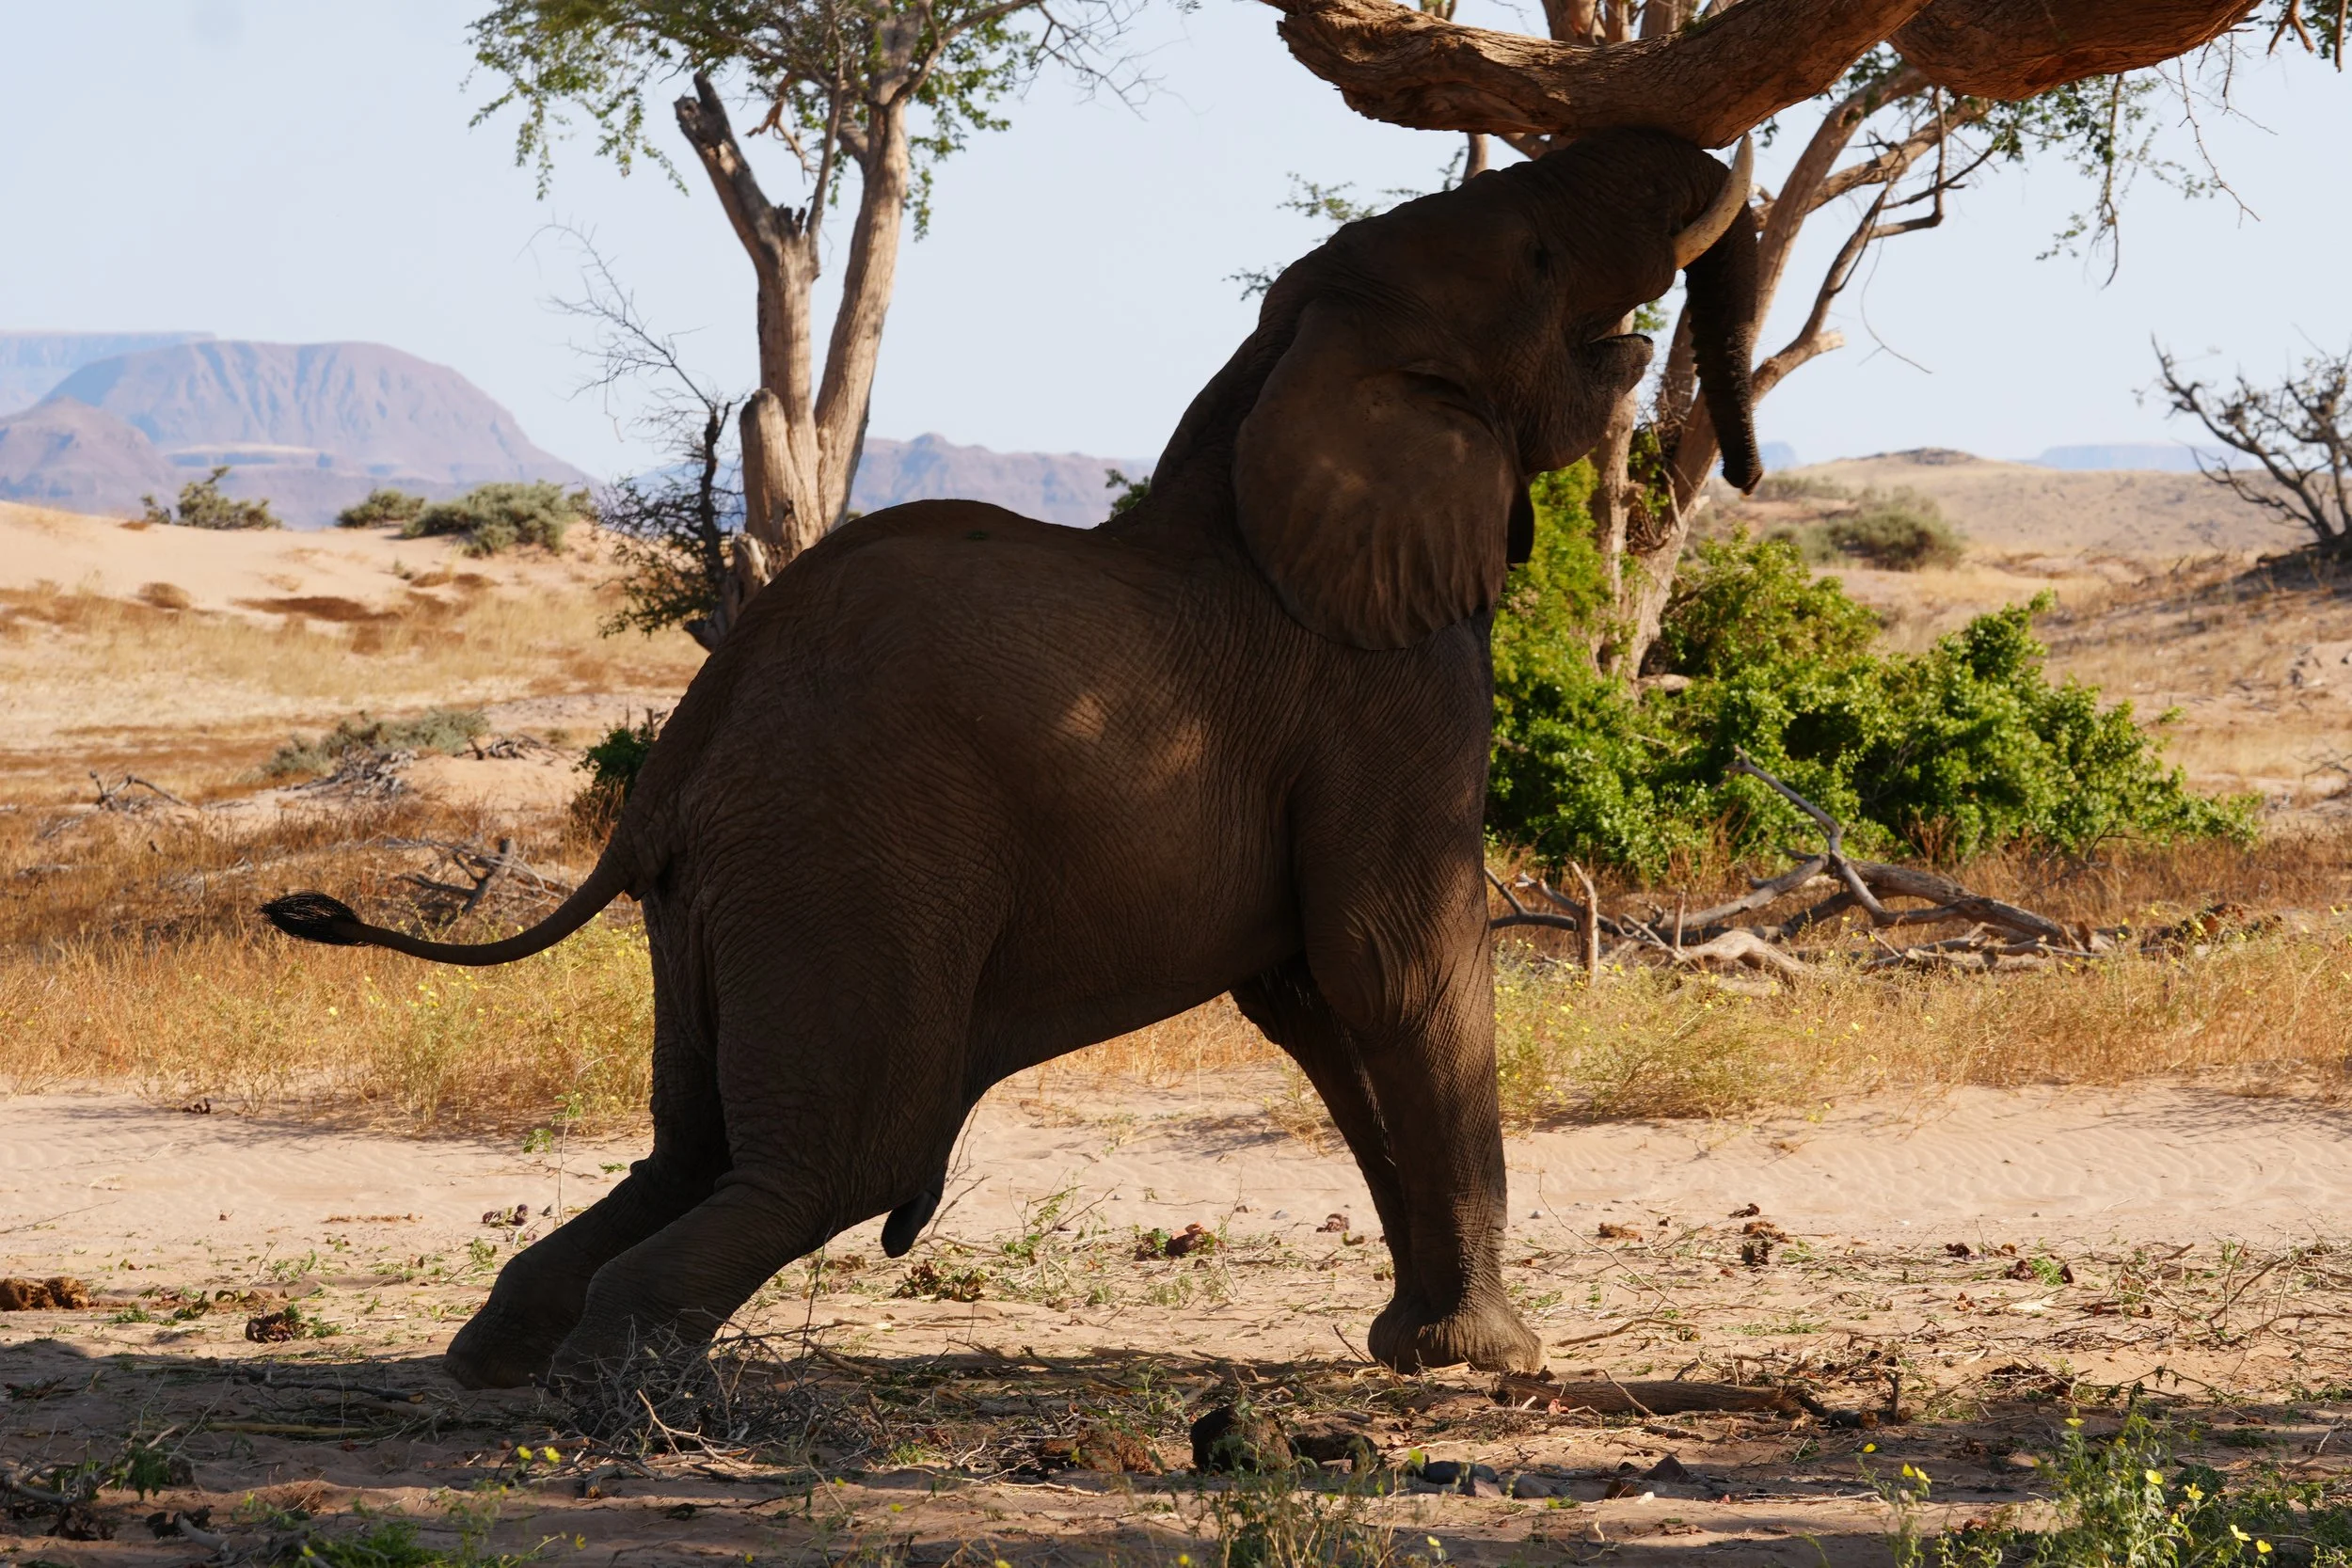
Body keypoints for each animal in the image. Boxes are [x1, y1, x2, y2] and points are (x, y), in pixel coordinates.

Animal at [263, 126, 1762, 1392]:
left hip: (720, 898)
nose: (1737, 465)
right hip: (846, 865)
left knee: (694, 1149)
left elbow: (1312, 1000)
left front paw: (1420, 1347)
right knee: (836, 1157)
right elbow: (1391, 965)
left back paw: (499, 1357)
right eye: (1539, 260)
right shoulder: (1391, 684)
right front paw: (1497, 1363)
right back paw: (621, 1381)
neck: (1285, 367)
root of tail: (677, 762)